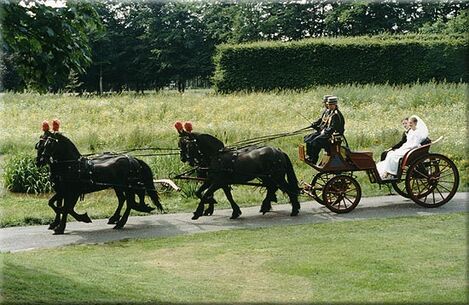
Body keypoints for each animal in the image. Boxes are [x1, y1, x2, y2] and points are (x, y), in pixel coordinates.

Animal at [35, 132, 163, 234]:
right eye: (40, 146)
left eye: (50, 144)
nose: (40, 160)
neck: (71, 165)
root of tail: (133, 159)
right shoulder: (62, 191)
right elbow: (54, 203)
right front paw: (58, 222)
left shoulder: (72, 193)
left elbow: (66, 208)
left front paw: (62, 226)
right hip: (119, 187)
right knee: (124, 200)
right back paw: (115, 218)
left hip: (128, 187)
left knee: (130, 203)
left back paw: (120, 223)